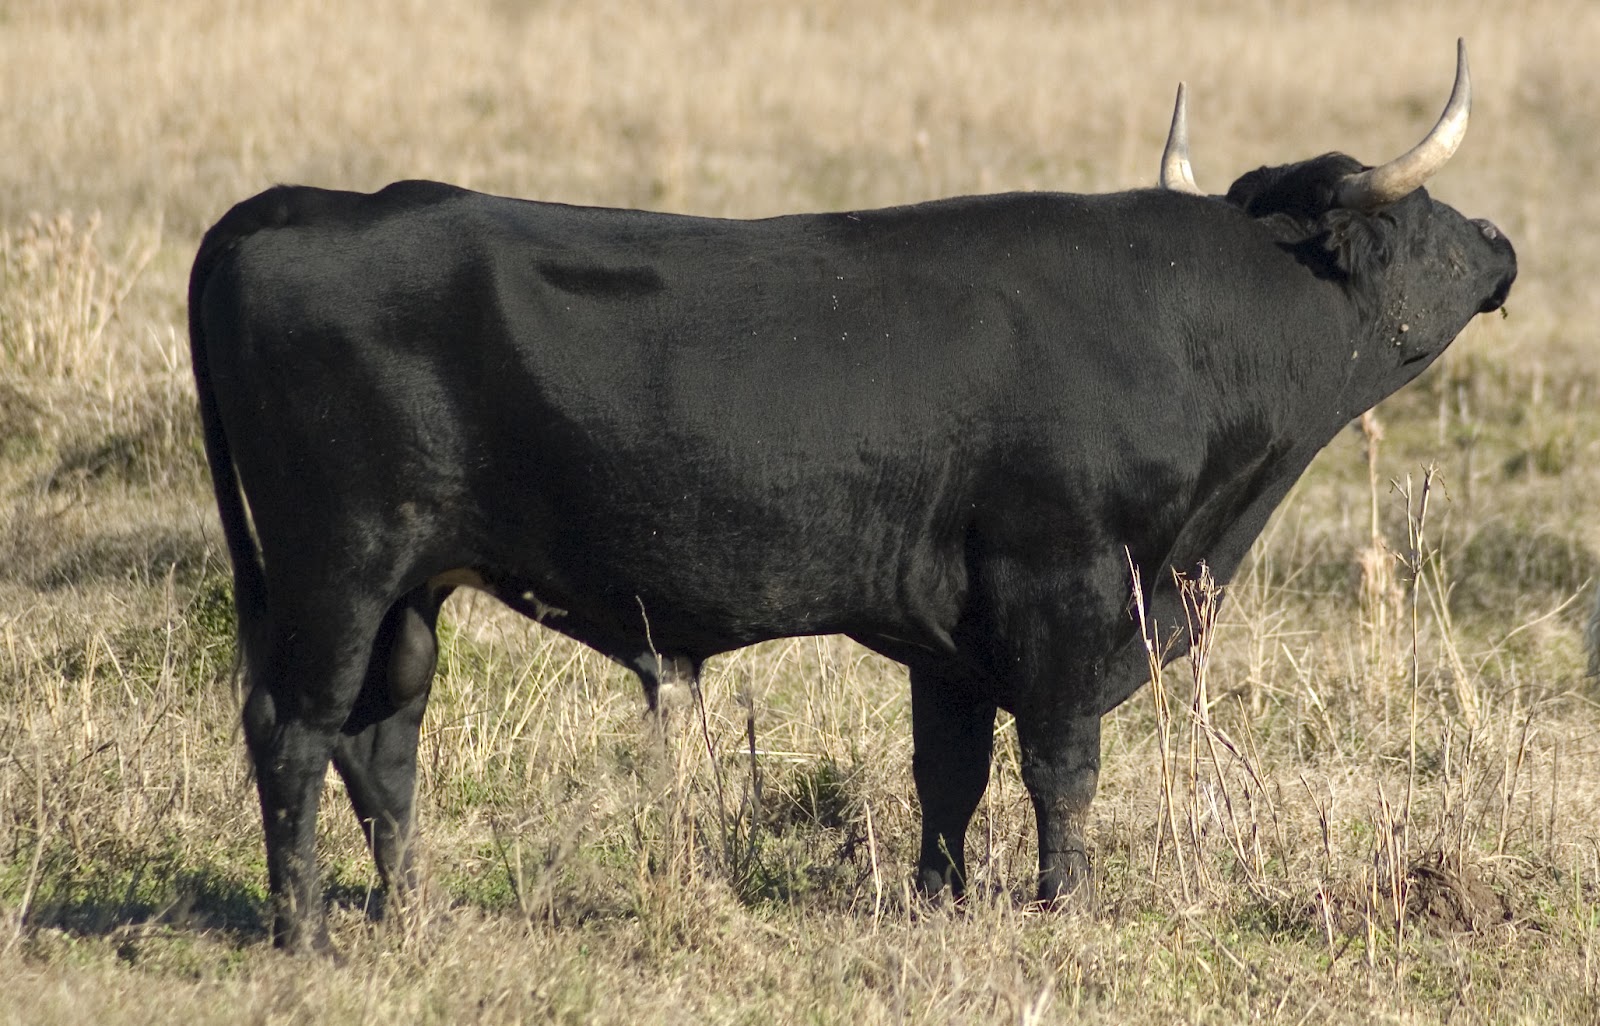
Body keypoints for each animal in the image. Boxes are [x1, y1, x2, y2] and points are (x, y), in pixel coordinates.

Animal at [189, 41, 1515, 950]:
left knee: (382, 739)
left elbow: (949, 770)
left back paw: (412, 914)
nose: (1501, 242)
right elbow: (1060, 765)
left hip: (411, 591)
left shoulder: (954, 627)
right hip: (336, 566)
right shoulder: (1062, 585)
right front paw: (1063, 904)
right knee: (296, 728)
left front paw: (941, 899)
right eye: (1422, 216)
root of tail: (298, 205)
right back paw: (306, 934)